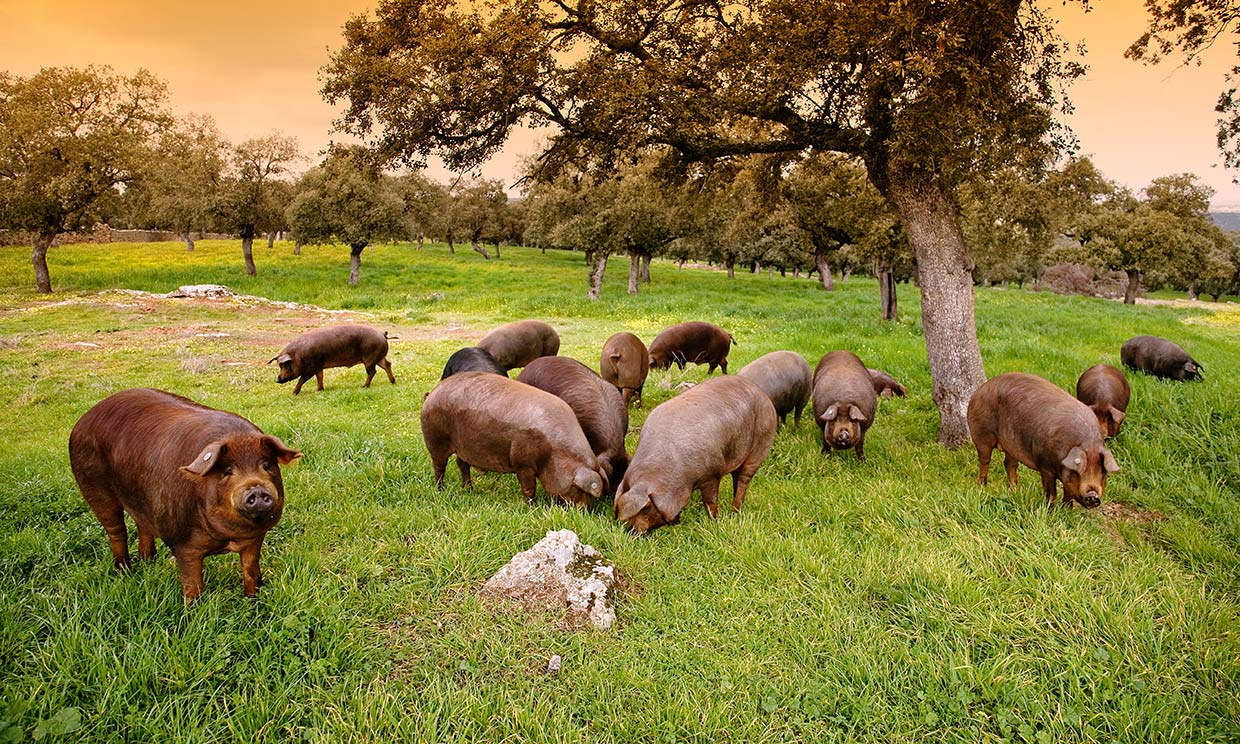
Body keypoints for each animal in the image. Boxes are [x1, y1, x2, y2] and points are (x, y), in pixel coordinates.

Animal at [67, 386, 300, 602]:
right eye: (227, 471)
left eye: (267, 465)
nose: (256, 489)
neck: (229, 537)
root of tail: (84, 418)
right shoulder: (183, 544)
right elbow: (192, 584)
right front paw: (191, 610)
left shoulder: (254, 539)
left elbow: (250, 571)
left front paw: (253, 601)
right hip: (93, 486)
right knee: (116, 530)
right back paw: (125, 570)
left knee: (142, 525)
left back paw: (148, 561)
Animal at [419, 372, 607, 505]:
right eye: (578, 489)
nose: (585, 510)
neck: (555, 451)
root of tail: (431, 393)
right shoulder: (522, 463)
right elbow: (528, 488)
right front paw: (531, 506)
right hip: (435, 439)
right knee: (439, 466)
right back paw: (440, 490)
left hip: (463, 447)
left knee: (462, 464)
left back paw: (469, 489)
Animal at [612, 376, 773, 535]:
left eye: (645, 508)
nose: (630, 531)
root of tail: (762, 394)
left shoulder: (712, 474)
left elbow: (710, 501)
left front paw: (715, 520)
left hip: (761, 442)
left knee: (744, 479)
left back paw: (735, 512)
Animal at [967, 369, 1125, 508]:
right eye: (1080, 470)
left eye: (1103, 472)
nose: (1093, 496)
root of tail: (979, 390)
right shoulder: (1045, 466)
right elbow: (1051, 492)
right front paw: (1049, 510)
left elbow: (1068, 494)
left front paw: (1066, 511)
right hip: (982, 433)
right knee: (985, 460)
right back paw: (982, 486)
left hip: (1012, 445)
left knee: (1009, 464)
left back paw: (1015, 490)